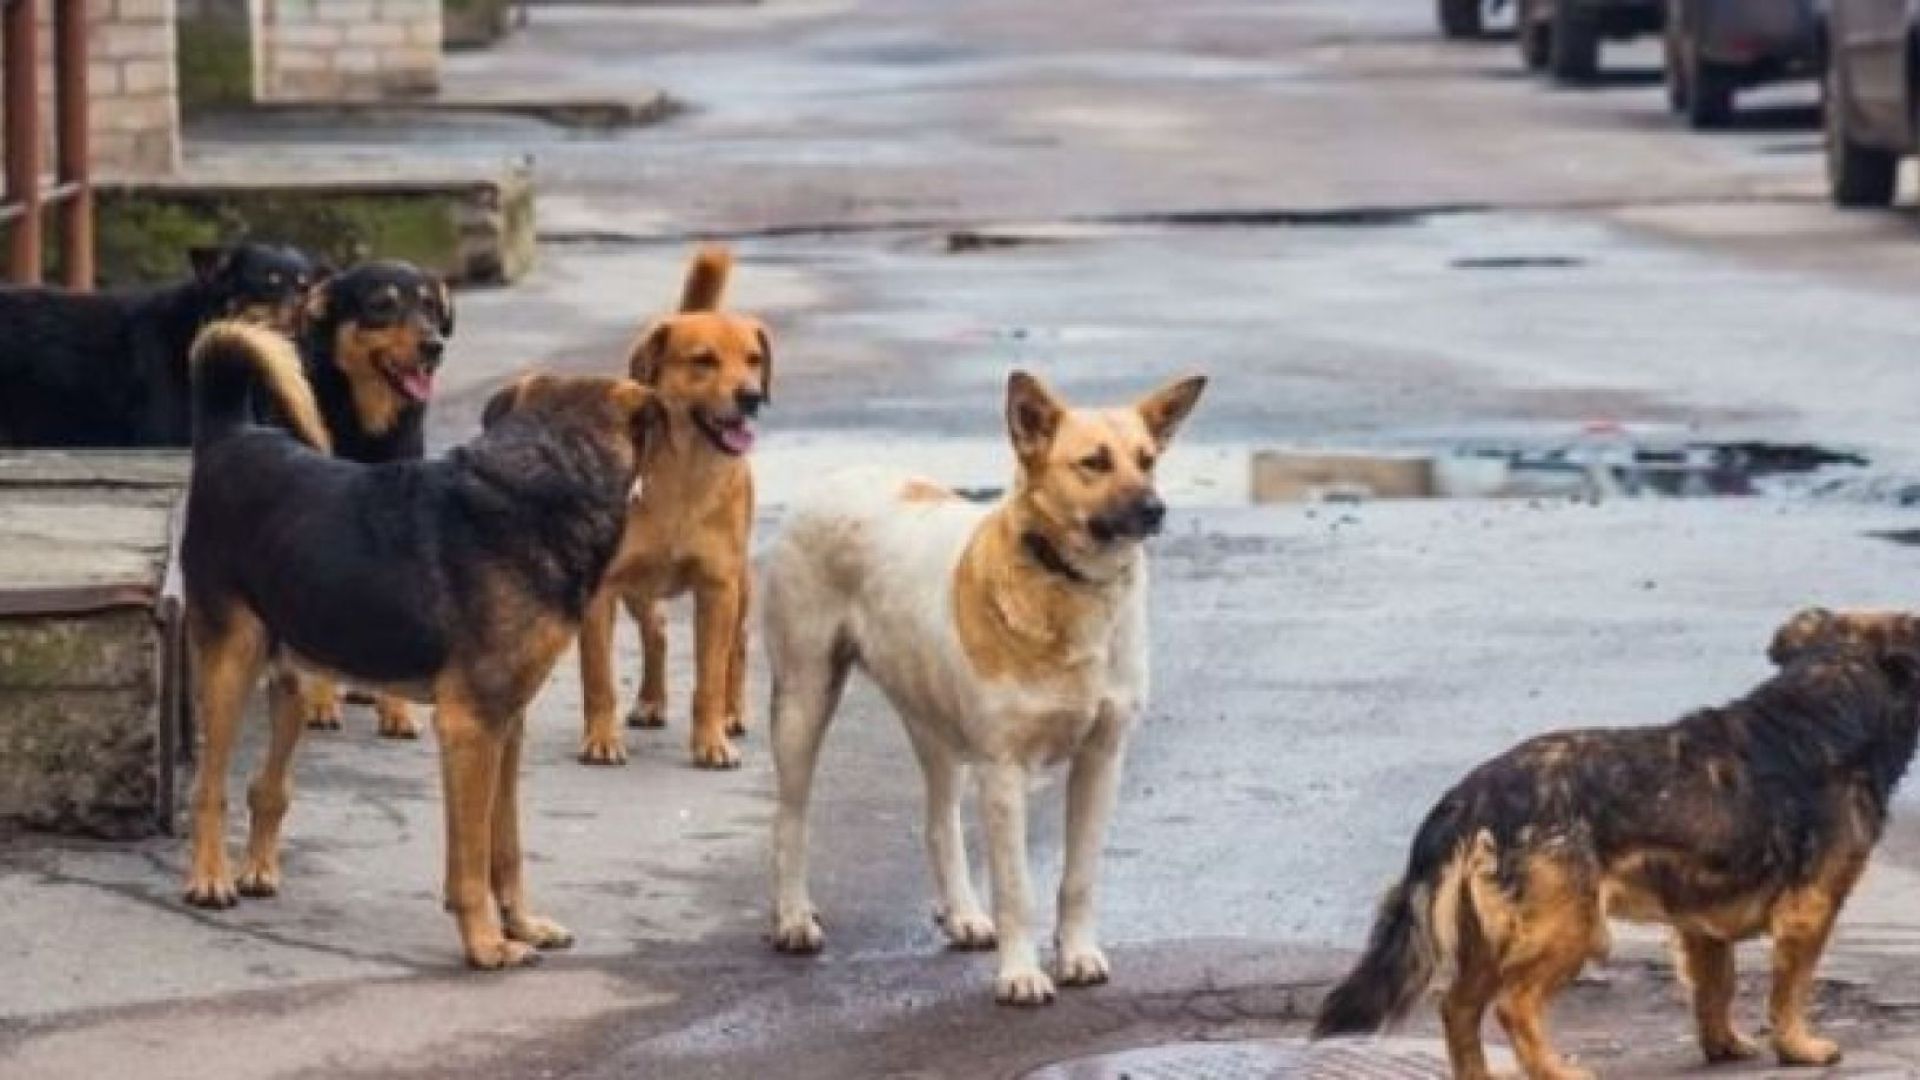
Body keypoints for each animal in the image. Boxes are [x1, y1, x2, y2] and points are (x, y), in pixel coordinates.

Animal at [180, 321, 660, 968]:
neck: (545, 475)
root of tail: (231, 435)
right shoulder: (470, 727)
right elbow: (471, 860)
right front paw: (486, 944)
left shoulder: (506, 725)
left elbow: (504, 847)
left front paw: (522, 925)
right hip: (231, 662)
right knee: (209, 788)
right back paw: (210, 879)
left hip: (295, 675)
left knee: (267, 785)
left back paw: (257, 869)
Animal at [287, 259, 456, 740]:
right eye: (382, 305)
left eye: (431, 307)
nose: (434, 346)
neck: (367, 426)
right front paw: (321, 702)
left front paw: (396, 709)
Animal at [577, 246, 766, 768]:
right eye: (703, 360)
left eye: (754, 360)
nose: (752, 397)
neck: (684, 475)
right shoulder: (600, 589)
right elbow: (598, 678)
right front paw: (601, 738)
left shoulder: (718, 587)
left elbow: (709, 678)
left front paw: (711, 740)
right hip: (638, 587)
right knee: (657, 629)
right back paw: (650, 701)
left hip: (740, 585)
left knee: (738, 646)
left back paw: (732, 712)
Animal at [763, 370, 1206, 1005]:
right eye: (1093, 463)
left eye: (1147, 460)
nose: (1155, 509)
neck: (1066, 584)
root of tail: (837, 476)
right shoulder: (1003, 772)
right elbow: (1017, 888)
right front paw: (1020, 974)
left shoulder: (1102, 758)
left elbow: (1079, 877)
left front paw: (1077, 954)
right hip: (804, 700)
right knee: (790, 818)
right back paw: (794, 917)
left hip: (933, 723)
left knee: (938, 821)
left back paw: (963, 914)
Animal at [1314, 638, 1920, 1079]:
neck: (1824, 714)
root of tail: (1473, 792)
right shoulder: (1808, 911)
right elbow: (1789, 993)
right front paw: (1799, 1049)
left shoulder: (1702, 924)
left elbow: (1715, 989)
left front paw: (1723, 1045)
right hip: (1570, 928)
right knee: (1513, 1005)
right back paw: (1556, 1071)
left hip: (1489, 936)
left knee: (1458, 1009)